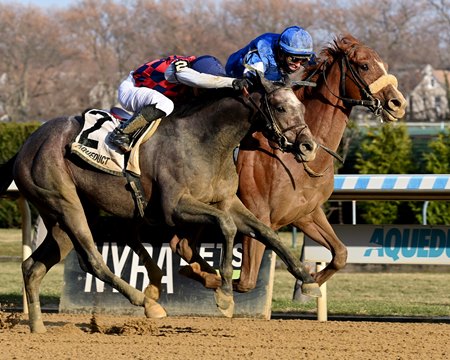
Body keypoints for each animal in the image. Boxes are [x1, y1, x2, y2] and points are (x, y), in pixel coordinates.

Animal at [234, 33, 406, 292]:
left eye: (384, 65)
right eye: (364, 66)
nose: (398, 103)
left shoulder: (305, 213)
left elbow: (341, 253)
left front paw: (309, 282)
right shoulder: (258, 217)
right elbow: (245, 281)